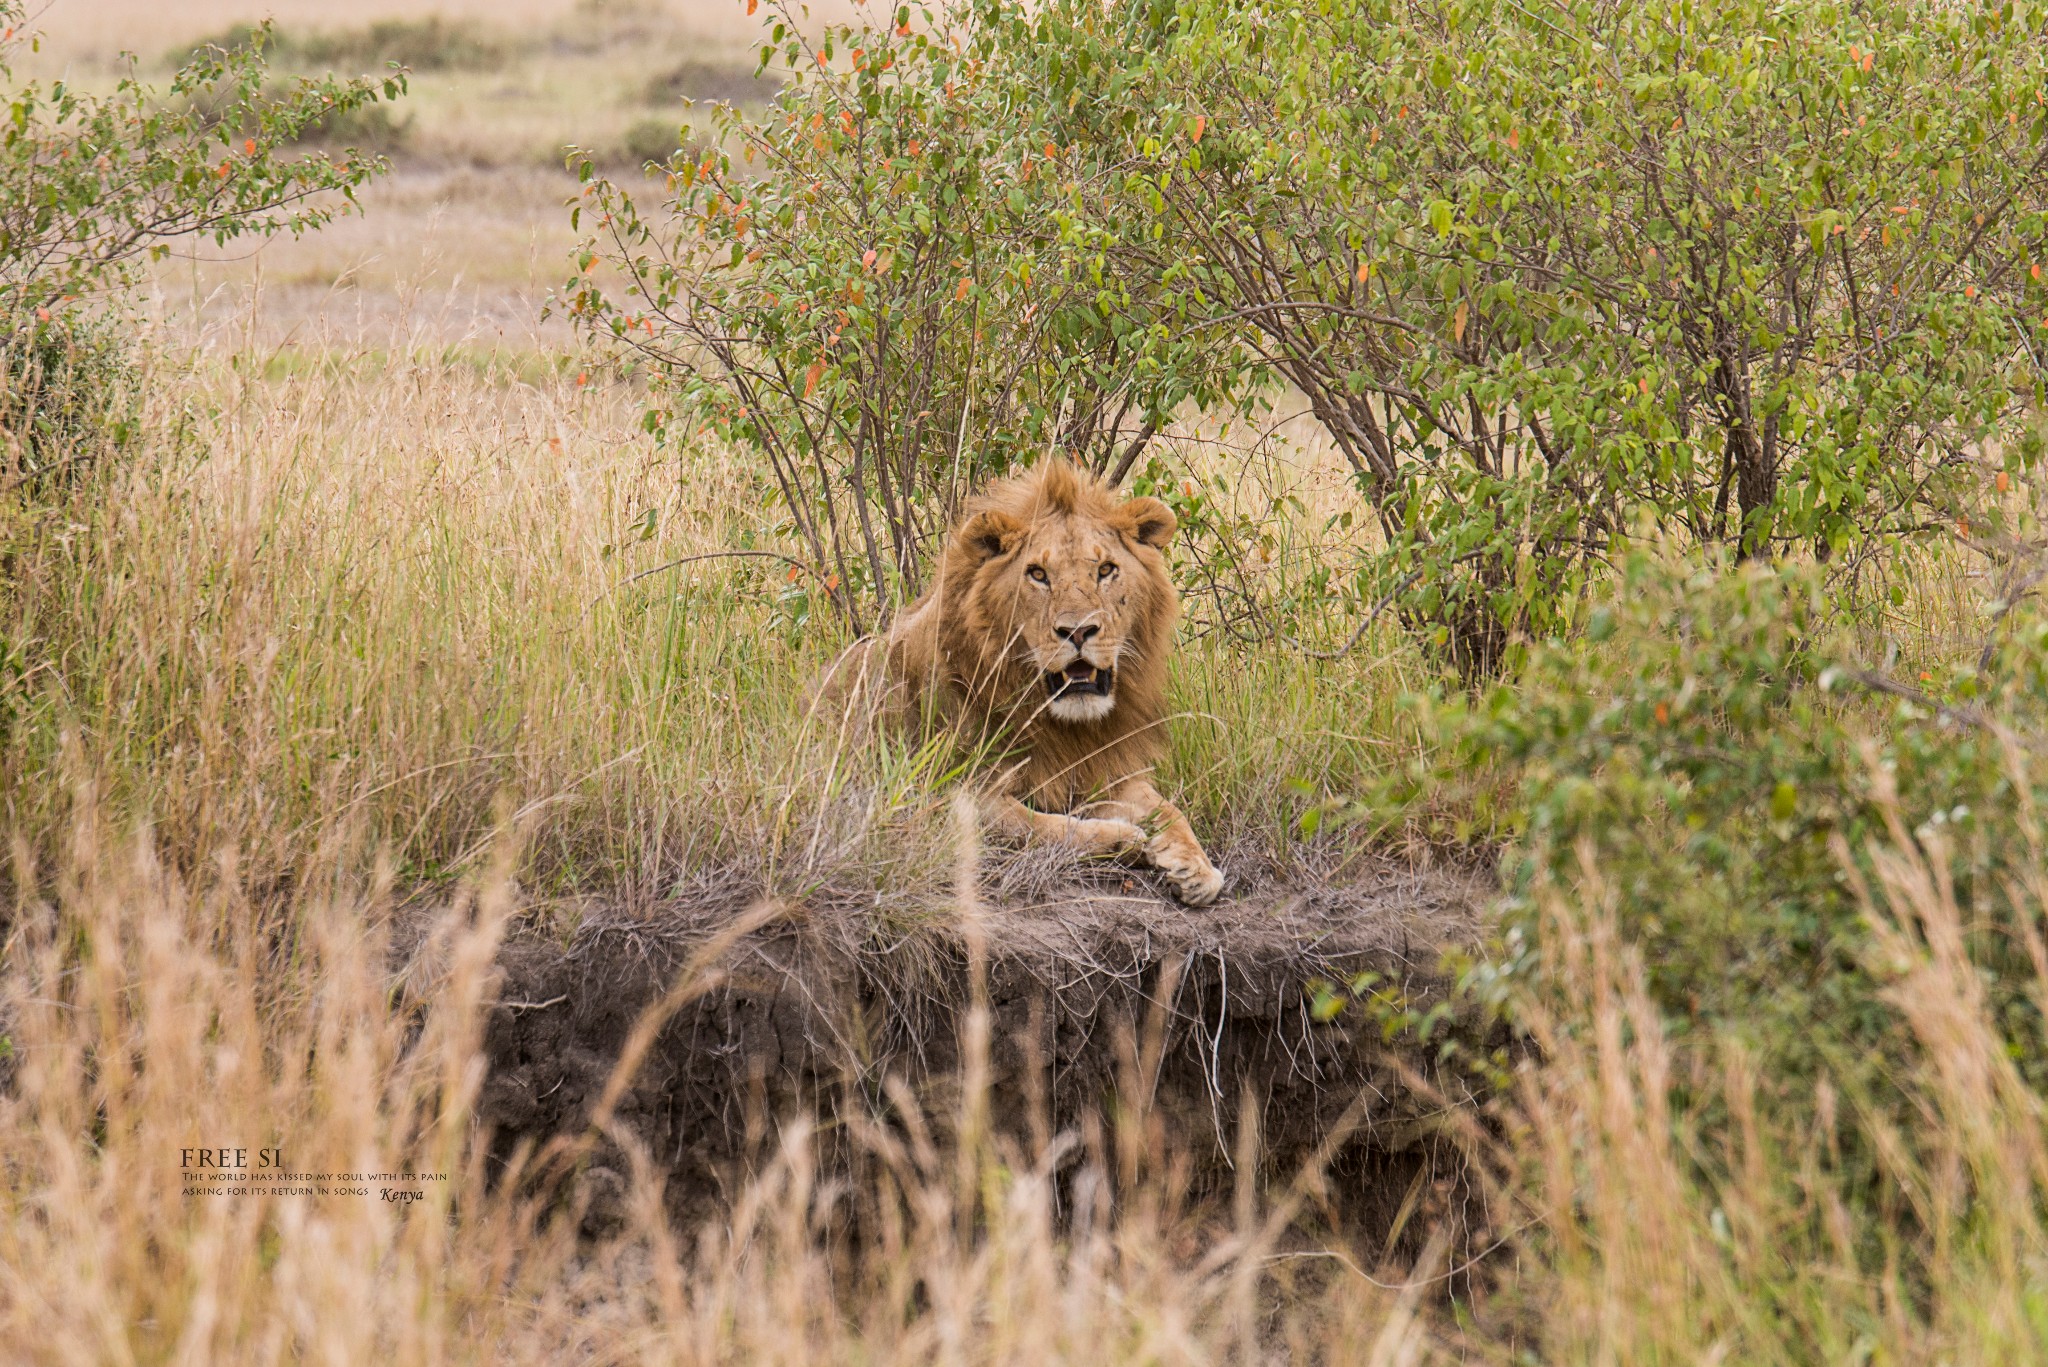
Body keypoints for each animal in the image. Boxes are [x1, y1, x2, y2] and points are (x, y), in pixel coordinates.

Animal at [819, 459, 1220, 909]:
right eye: (1038, 574)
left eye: (1105, 570)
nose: (1078, 631)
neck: (1066, 727)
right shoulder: (952, 792)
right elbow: (1041, 826)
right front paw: (1122, 838)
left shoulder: (1106, 768)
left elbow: (1168, 810)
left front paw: (1197, 867)